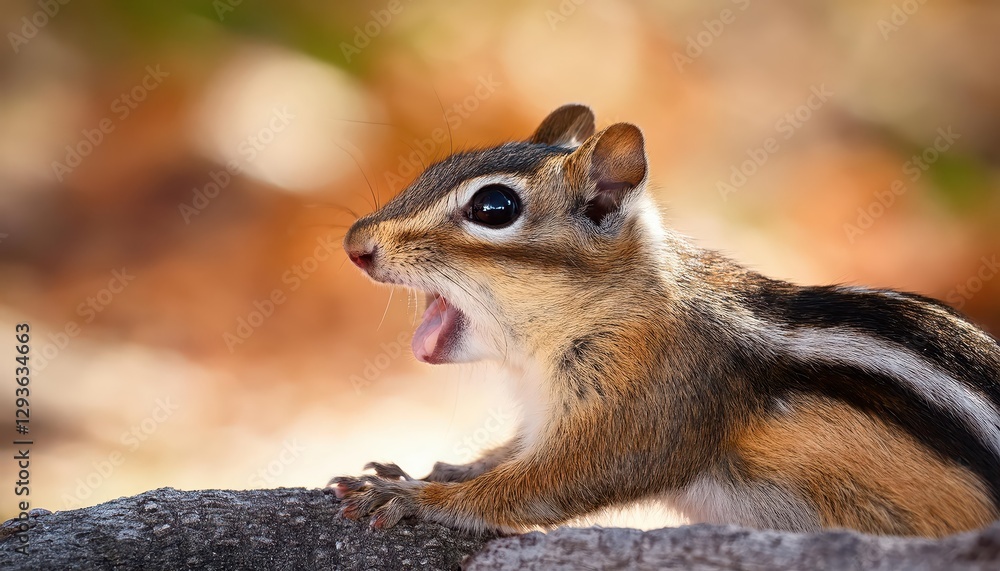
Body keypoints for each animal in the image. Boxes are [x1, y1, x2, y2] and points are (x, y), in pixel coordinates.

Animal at [332, 104, 1000, 537]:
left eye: (494, 207)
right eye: (435, 168)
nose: (355, 244)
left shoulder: (647, 402)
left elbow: (547, 482)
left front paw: (421, 496)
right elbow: (512, 453)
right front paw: (438, 466)